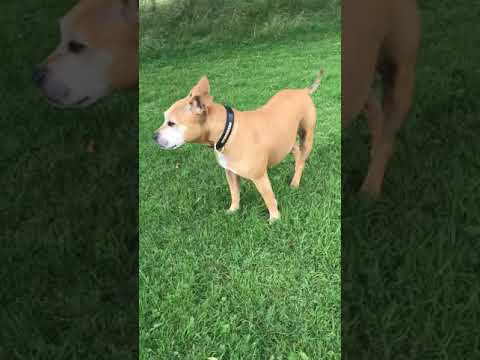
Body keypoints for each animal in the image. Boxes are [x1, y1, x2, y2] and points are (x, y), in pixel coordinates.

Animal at [153, 73, 326, 221]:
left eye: (171, 123)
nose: (153, 136)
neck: (227, 130)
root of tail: (302, 91)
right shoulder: (230, 172)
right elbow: (235, 193)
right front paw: (234, 210)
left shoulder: (260, 177)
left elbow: (268, 197)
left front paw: (275, 218)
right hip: (286, 140)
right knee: (296, 151)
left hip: (307, 136)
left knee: (302, 159)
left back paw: (295, 182)